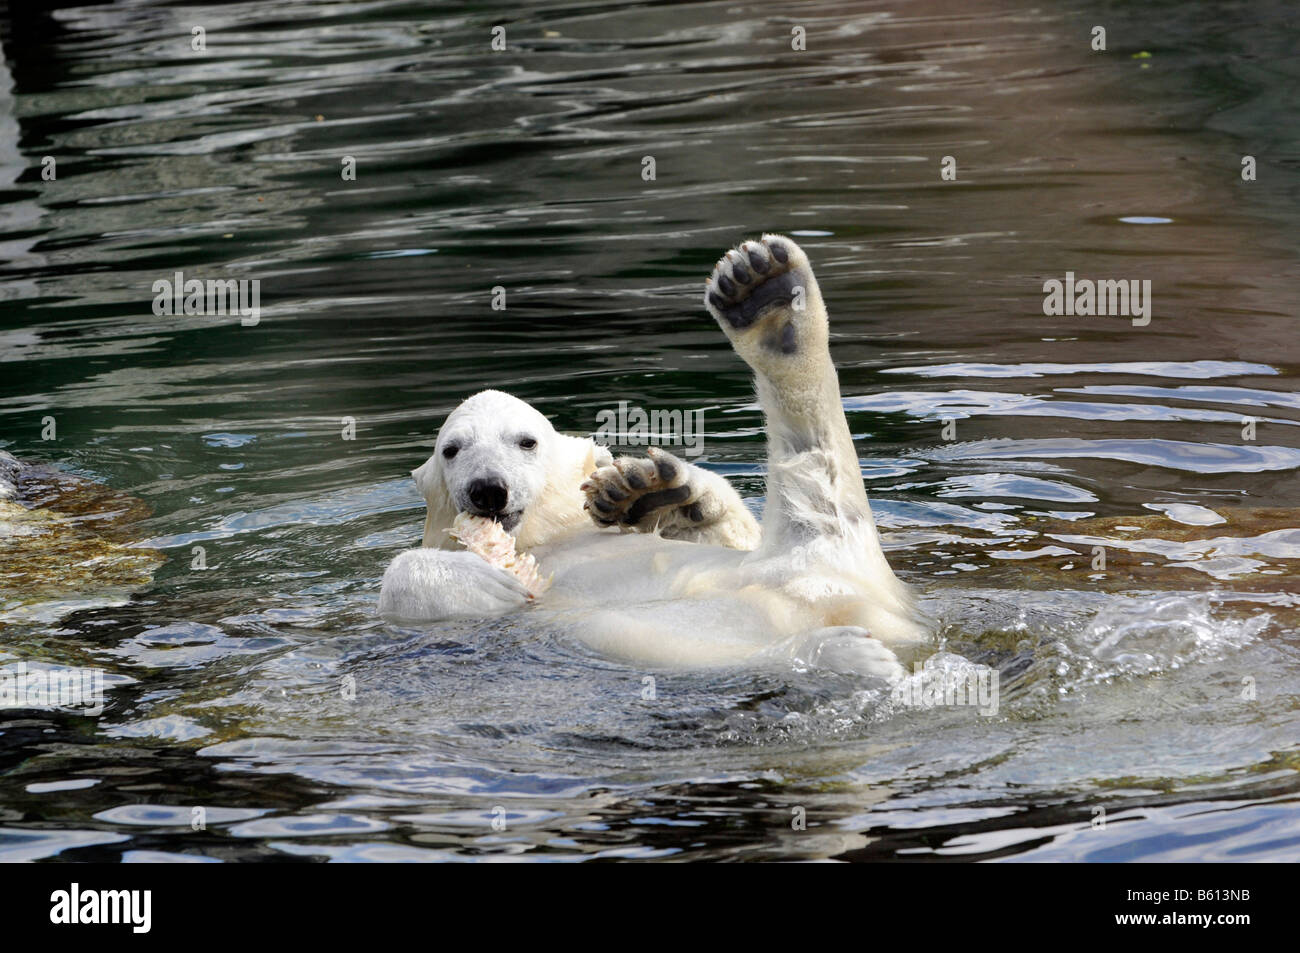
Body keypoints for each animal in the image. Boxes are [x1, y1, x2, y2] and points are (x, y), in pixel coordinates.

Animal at [377, 236, 925, 676]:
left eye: (526, 441)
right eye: (452, 450)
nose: (488, 489)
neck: (545, 538)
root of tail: (862, 600)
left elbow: (730, 533)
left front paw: (644, 488)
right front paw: (488, 580)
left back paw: (768, 296)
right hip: (698, 618)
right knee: (659, 634)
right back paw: (835, 653)